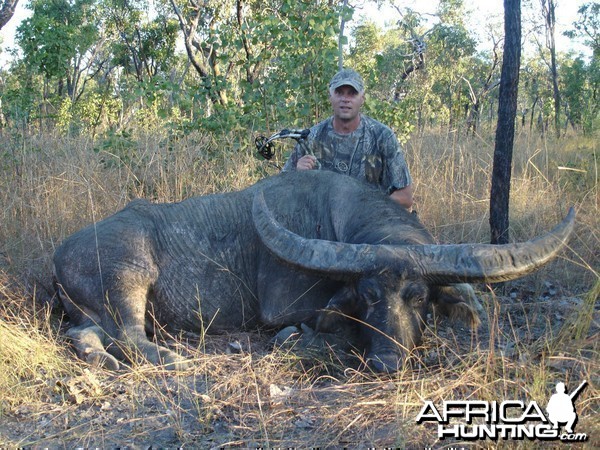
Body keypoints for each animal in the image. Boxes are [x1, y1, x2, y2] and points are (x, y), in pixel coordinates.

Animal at [54, 171, 576, 370]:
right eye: (367, 296)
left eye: (419, 298)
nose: (386, 363)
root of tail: (60, 252)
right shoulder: (284, 308)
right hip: (129, 279)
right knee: (129, 337)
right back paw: (175, 359)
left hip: (90, 312)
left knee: (85, 335)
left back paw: (96, 359)